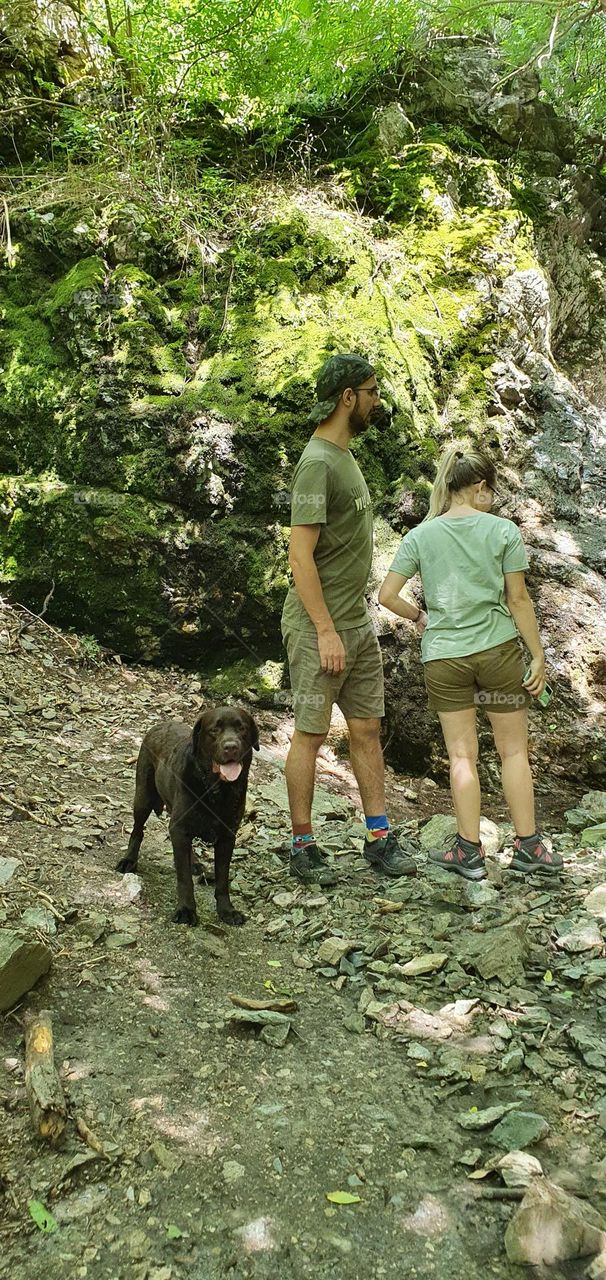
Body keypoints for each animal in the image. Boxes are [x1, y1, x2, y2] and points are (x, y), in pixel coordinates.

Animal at [117, 706, 258, 926]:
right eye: (214, 730)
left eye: (241, 728)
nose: (231, 747)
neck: (215, 790)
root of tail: (160, 724)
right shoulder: (180, 827)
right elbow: (184, 878)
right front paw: (186, 910)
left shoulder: (227, 836)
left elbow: (222, 878)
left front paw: (227, 910)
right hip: (143, 798)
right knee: (137, 830)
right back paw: (129, 860)